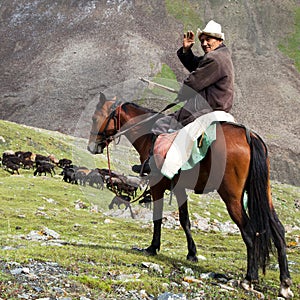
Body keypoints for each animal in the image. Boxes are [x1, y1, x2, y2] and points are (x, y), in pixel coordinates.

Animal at [88, 92, 294, 298]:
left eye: (95, 118)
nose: (92, 147)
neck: (149, 136)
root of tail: (248, 135)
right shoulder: (178, 188)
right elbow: (185, 220)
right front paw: (192, 253)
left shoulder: (157, 186)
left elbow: (158, 218)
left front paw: (152, 248)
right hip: (264, 194)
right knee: (278, 229)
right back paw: (285, 283)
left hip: (232, 197)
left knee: (249, 231)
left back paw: (249, 278)